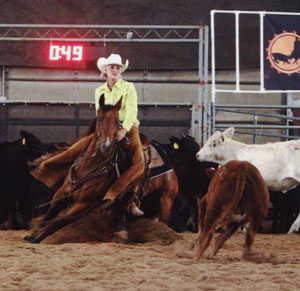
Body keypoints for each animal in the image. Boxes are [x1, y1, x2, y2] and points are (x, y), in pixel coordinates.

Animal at [25, 95, 178, 244]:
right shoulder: (60, 194)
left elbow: (55, 224)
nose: (106, 146)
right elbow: (47, 218)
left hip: (166, 201)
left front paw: (37, 240)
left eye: (117, 122)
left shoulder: (83, 206)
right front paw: (31, 236)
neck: (88, 169)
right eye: (99, 119)